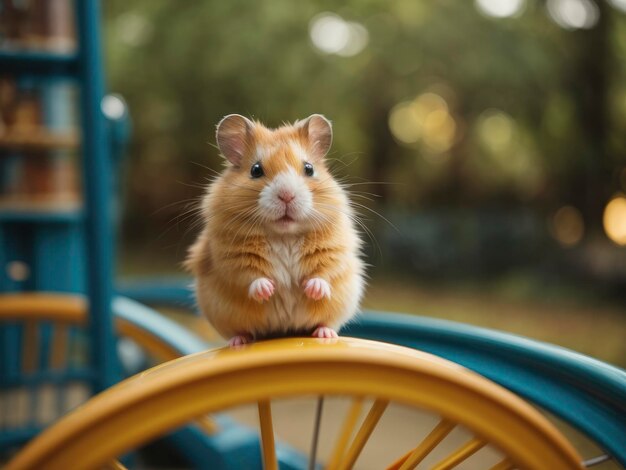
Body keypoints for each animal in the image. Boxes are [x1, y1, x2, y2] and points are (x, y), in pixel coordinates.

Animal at [183, 115, 364, 346]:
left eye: (309, 168)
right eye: (256, 170)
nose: (287, 195)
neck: (283, 235)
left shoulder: (335, 248)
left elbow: (324, 272)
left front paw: (312, 290)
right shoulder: (229, 256)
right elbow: (249, 276)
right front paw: (269, 290)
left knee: (327, 322)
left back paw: (326, 334)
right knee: (241, 331)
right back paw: (238, 341)